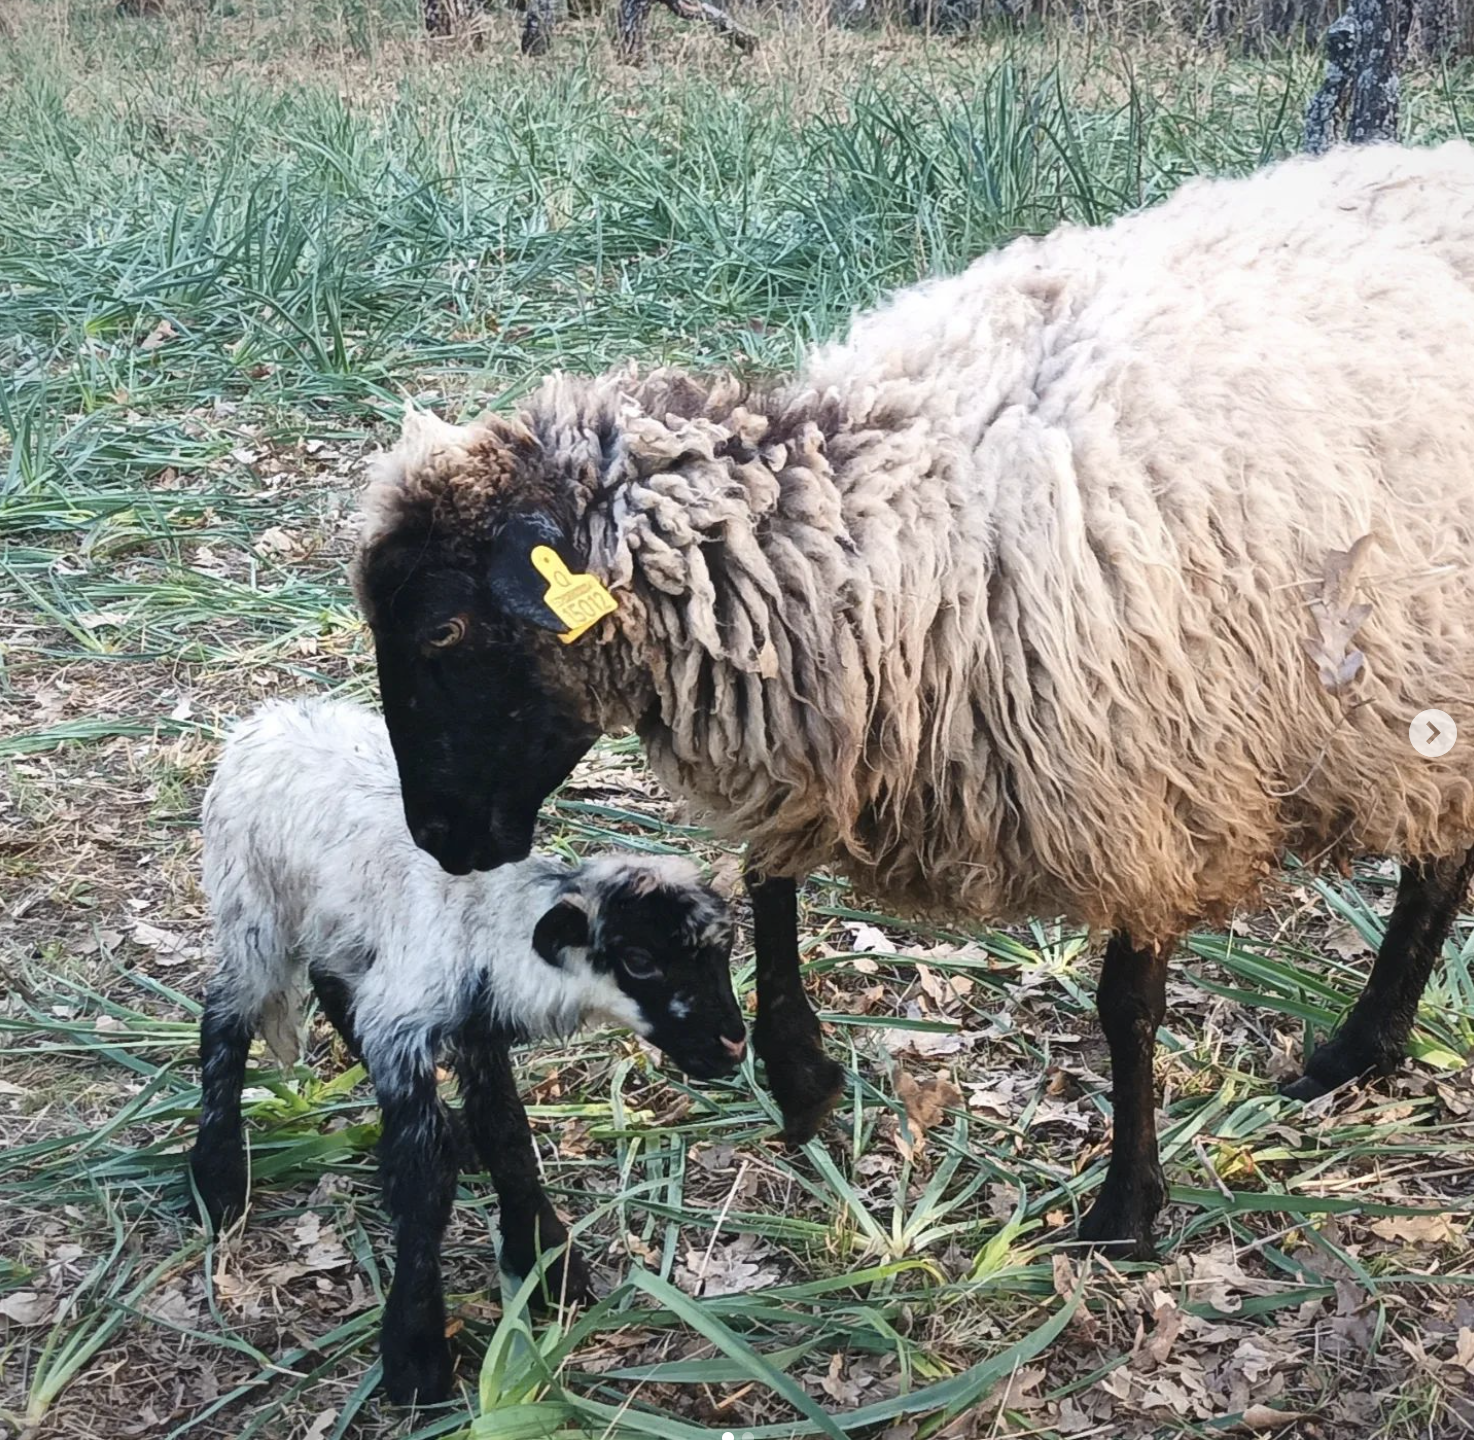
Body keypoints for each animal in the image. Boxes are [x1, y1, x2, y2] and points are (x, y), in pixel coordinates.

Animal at [188, 695, 742, 1403]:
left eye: (724, 953)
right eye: (640, 960)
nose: (733, 1044)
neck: (486, 919)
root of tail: (266, 719)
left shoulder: (472, 1028)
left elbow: (506, 1131)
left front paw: (547, 1262)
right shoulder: (405, 1026)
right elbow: (423, 1177)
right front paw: (417, 1354)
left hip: (343, 927)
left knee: (330, 984)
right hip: (251, 909)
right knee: (224, 1017)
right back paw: (217, 1178)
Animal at [347, 137, 1474, 1261]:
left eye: (440, 631)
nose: (437, 837)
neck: (895, 519)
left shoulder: (1151, 779)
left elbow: (1126, 1007)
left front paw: (1125, 1208)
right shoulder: (836, 712)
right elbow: (766, 872)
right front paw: (801, 1075)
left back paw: (1357, 1048)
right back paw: (1365, 1049)